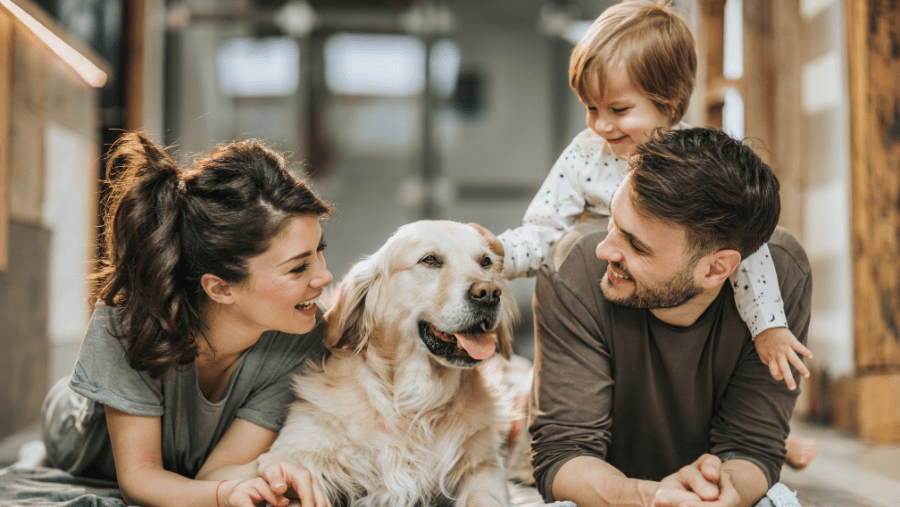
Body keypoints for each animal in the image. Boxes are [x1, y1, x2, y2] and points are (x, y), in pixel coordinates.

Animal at [270, 219, 516, 507]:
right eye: (430, 259)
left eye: (485, 262)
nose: (489, 293)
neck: (414, 402)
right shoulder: (295, 457)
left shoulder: (485, 467)